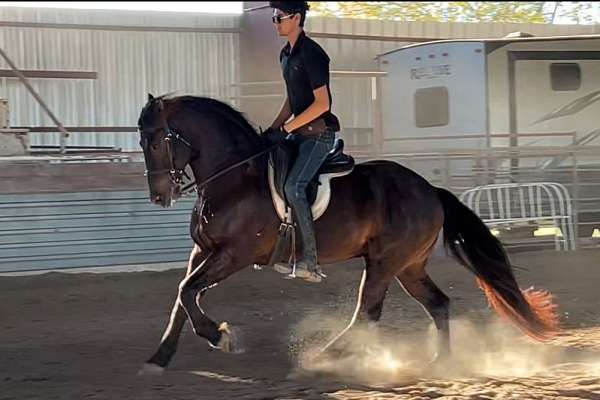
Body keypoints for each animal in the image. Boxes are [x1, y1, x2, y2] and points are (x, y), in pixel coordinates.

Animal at [135, 94, 556, 376]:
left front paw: (219, 336)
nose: (158, 196)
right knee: (437, 304)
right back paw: (441, 362)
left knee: (368, 312)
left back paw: (321, 357)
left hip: (385, 262)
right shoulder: (202, 251)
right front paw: (159, 358)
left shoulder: (235, 253)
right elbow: (182, 297)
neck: (235, 177)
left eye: (155, 141)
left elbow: (188, 291)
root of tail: (429, 190)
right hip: (408, 266)